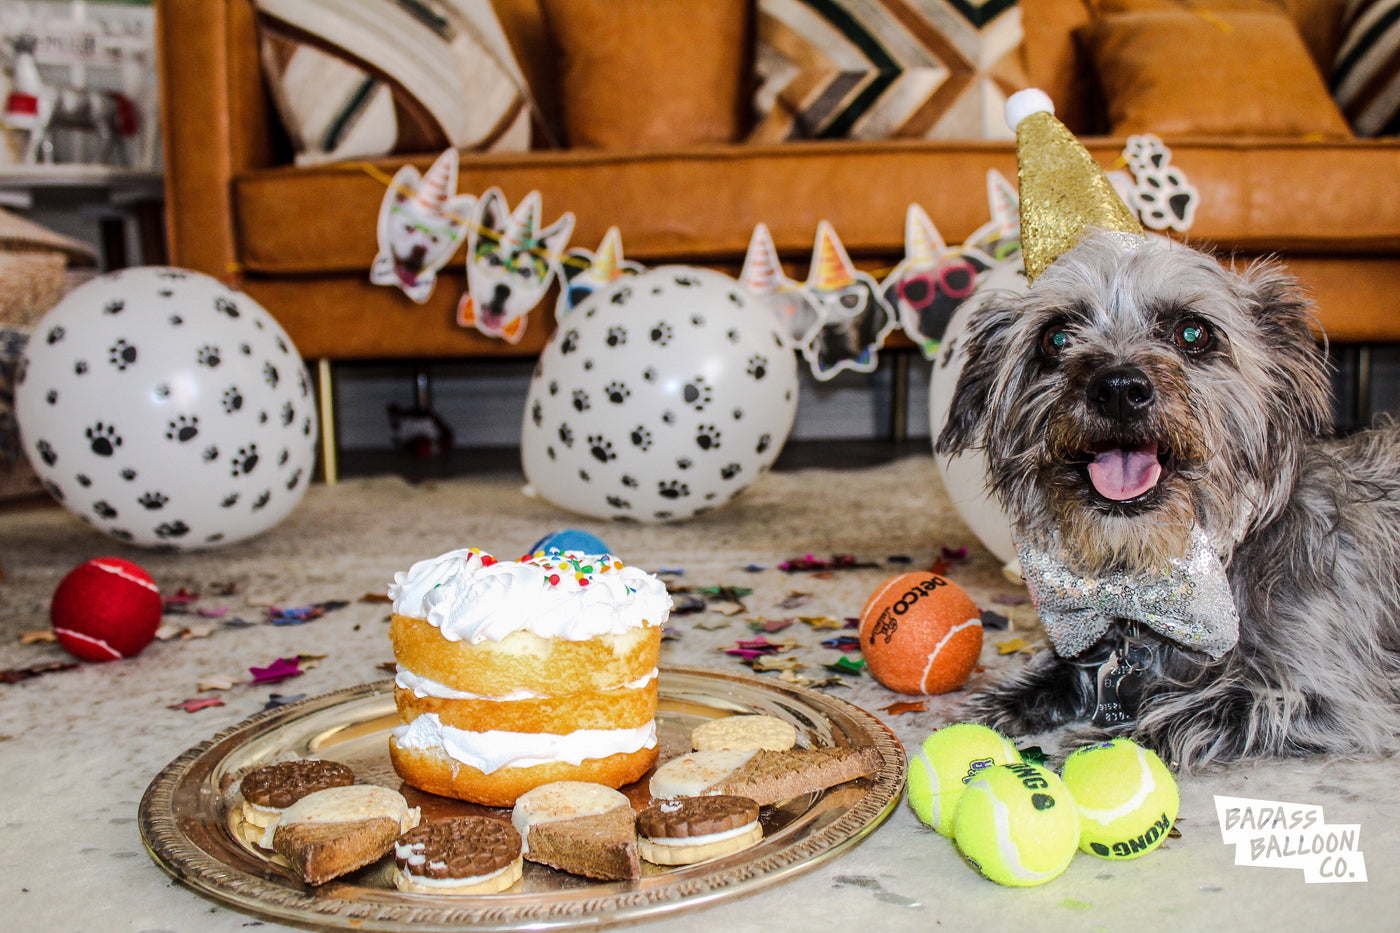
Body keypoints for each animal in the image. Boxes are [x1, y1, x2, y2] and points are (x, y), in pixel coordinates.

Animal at [929, 232, 1400, 767]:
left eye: (1193, 333)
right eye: (1056, 338)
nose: (1117, 388)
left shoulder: (1330, 698)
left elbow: (1198, 710)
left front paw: (1100, 745)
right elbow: (1055, 673)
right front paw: (987, 709)